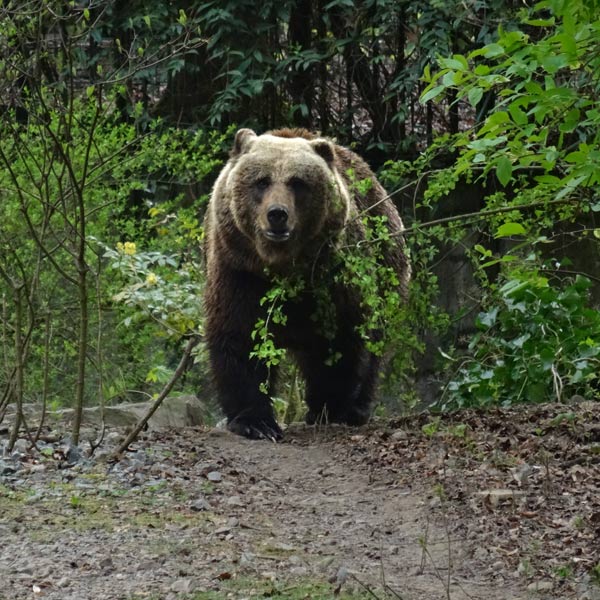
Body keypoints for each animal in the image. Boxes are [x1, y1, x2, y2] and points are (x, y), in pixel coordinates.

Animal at [203, 129, 408, 438]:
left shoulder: (333, 277)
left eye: (297, 182)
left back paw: (356, 409)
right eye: (261, 181)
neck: (283, 269)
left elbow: (343, 337)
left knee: (376, 343)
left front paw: (331, 406)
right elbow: (239, 335)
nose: (277, 214)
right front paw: (256, 423)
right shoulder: (239, 270)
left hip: (389, 263)